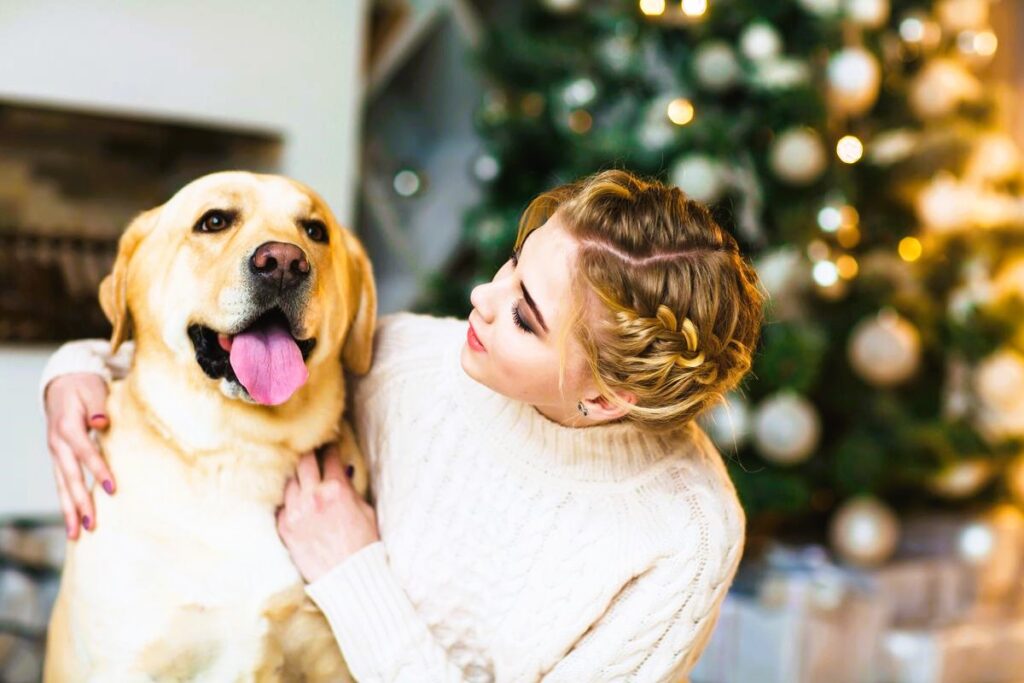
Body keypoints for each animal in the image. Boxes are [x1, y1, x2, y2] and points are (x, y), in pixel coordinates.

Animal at [44, 172, 374, 683]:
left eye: (316, 231)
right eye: (214, 221)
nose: (284, 261)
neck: (243, 448)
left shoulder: (330, 657)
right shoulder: (124, 658)